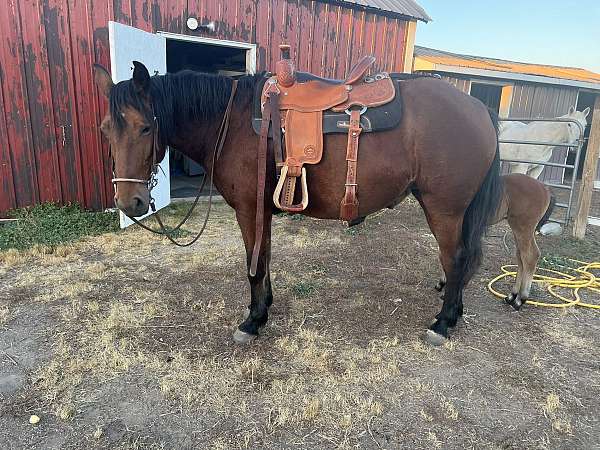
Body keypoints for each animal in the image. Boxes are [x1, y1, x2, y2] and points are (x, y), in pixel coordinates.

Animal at [91, 61, 502, 344]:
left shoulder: (249, 210)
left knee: (456, 259)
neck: (231, 121)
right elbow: (265, 259)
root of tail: (479, 108)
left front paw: (252, 321)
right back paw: (454, 311)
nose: (129, 202)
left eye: (145, 127)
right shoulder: (263, 210)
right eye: (106, 129)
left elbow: (253, 265)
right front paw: (264, 309)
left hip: (445, 209)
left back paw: (443, 323)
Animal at [434, 174, 556, 312]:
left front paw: (443, 284)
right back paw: (511, 296)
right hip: (518, 229)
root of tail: (545, 188)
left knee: (530, 256)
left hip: (523, 228)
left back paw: (520, 300)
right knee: (521, 256)